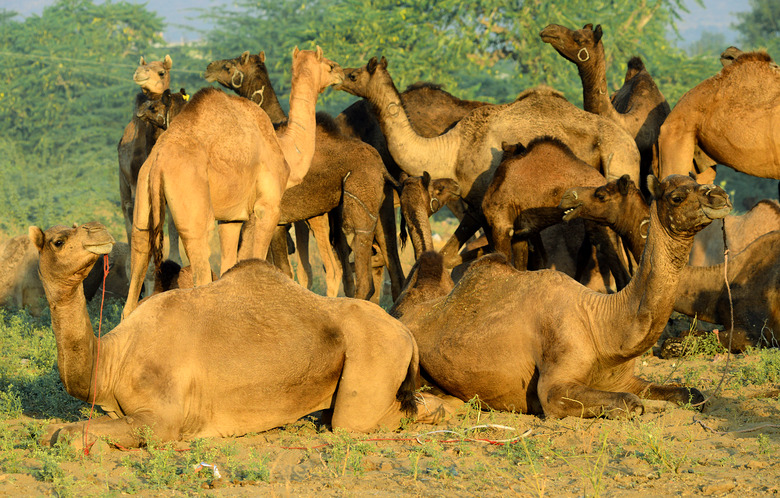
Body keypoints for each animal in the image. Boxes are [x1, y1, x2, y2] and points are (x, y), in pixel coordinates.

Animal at [33, 222, 454, 448]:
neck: (113, 359)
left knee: (362, 419)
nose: (96, 231)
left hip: (373, 357)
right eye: (58, 240)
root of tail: (405, 332)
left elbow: (67, 434)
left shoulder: (162, 417)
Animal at [123, 47, 342, 320]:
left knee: (137, 262)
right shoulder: (268, 208)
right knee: (200, 270)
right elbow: (258, 259)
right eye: (330, 65)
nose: (342, 73)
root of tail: (159, 161)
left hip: (142, 198)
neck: (284, 148)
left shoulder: (232, 218)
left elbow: (230, 265)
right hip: (193, 206)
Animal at [390, 175, 732, 416]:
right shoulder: (555, 384)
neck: (603, 324)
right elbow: (630, 403)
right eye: (677, 196)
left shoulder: (623, 379)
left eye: (695, 179)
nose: (720, 195)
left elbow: (692, 394)